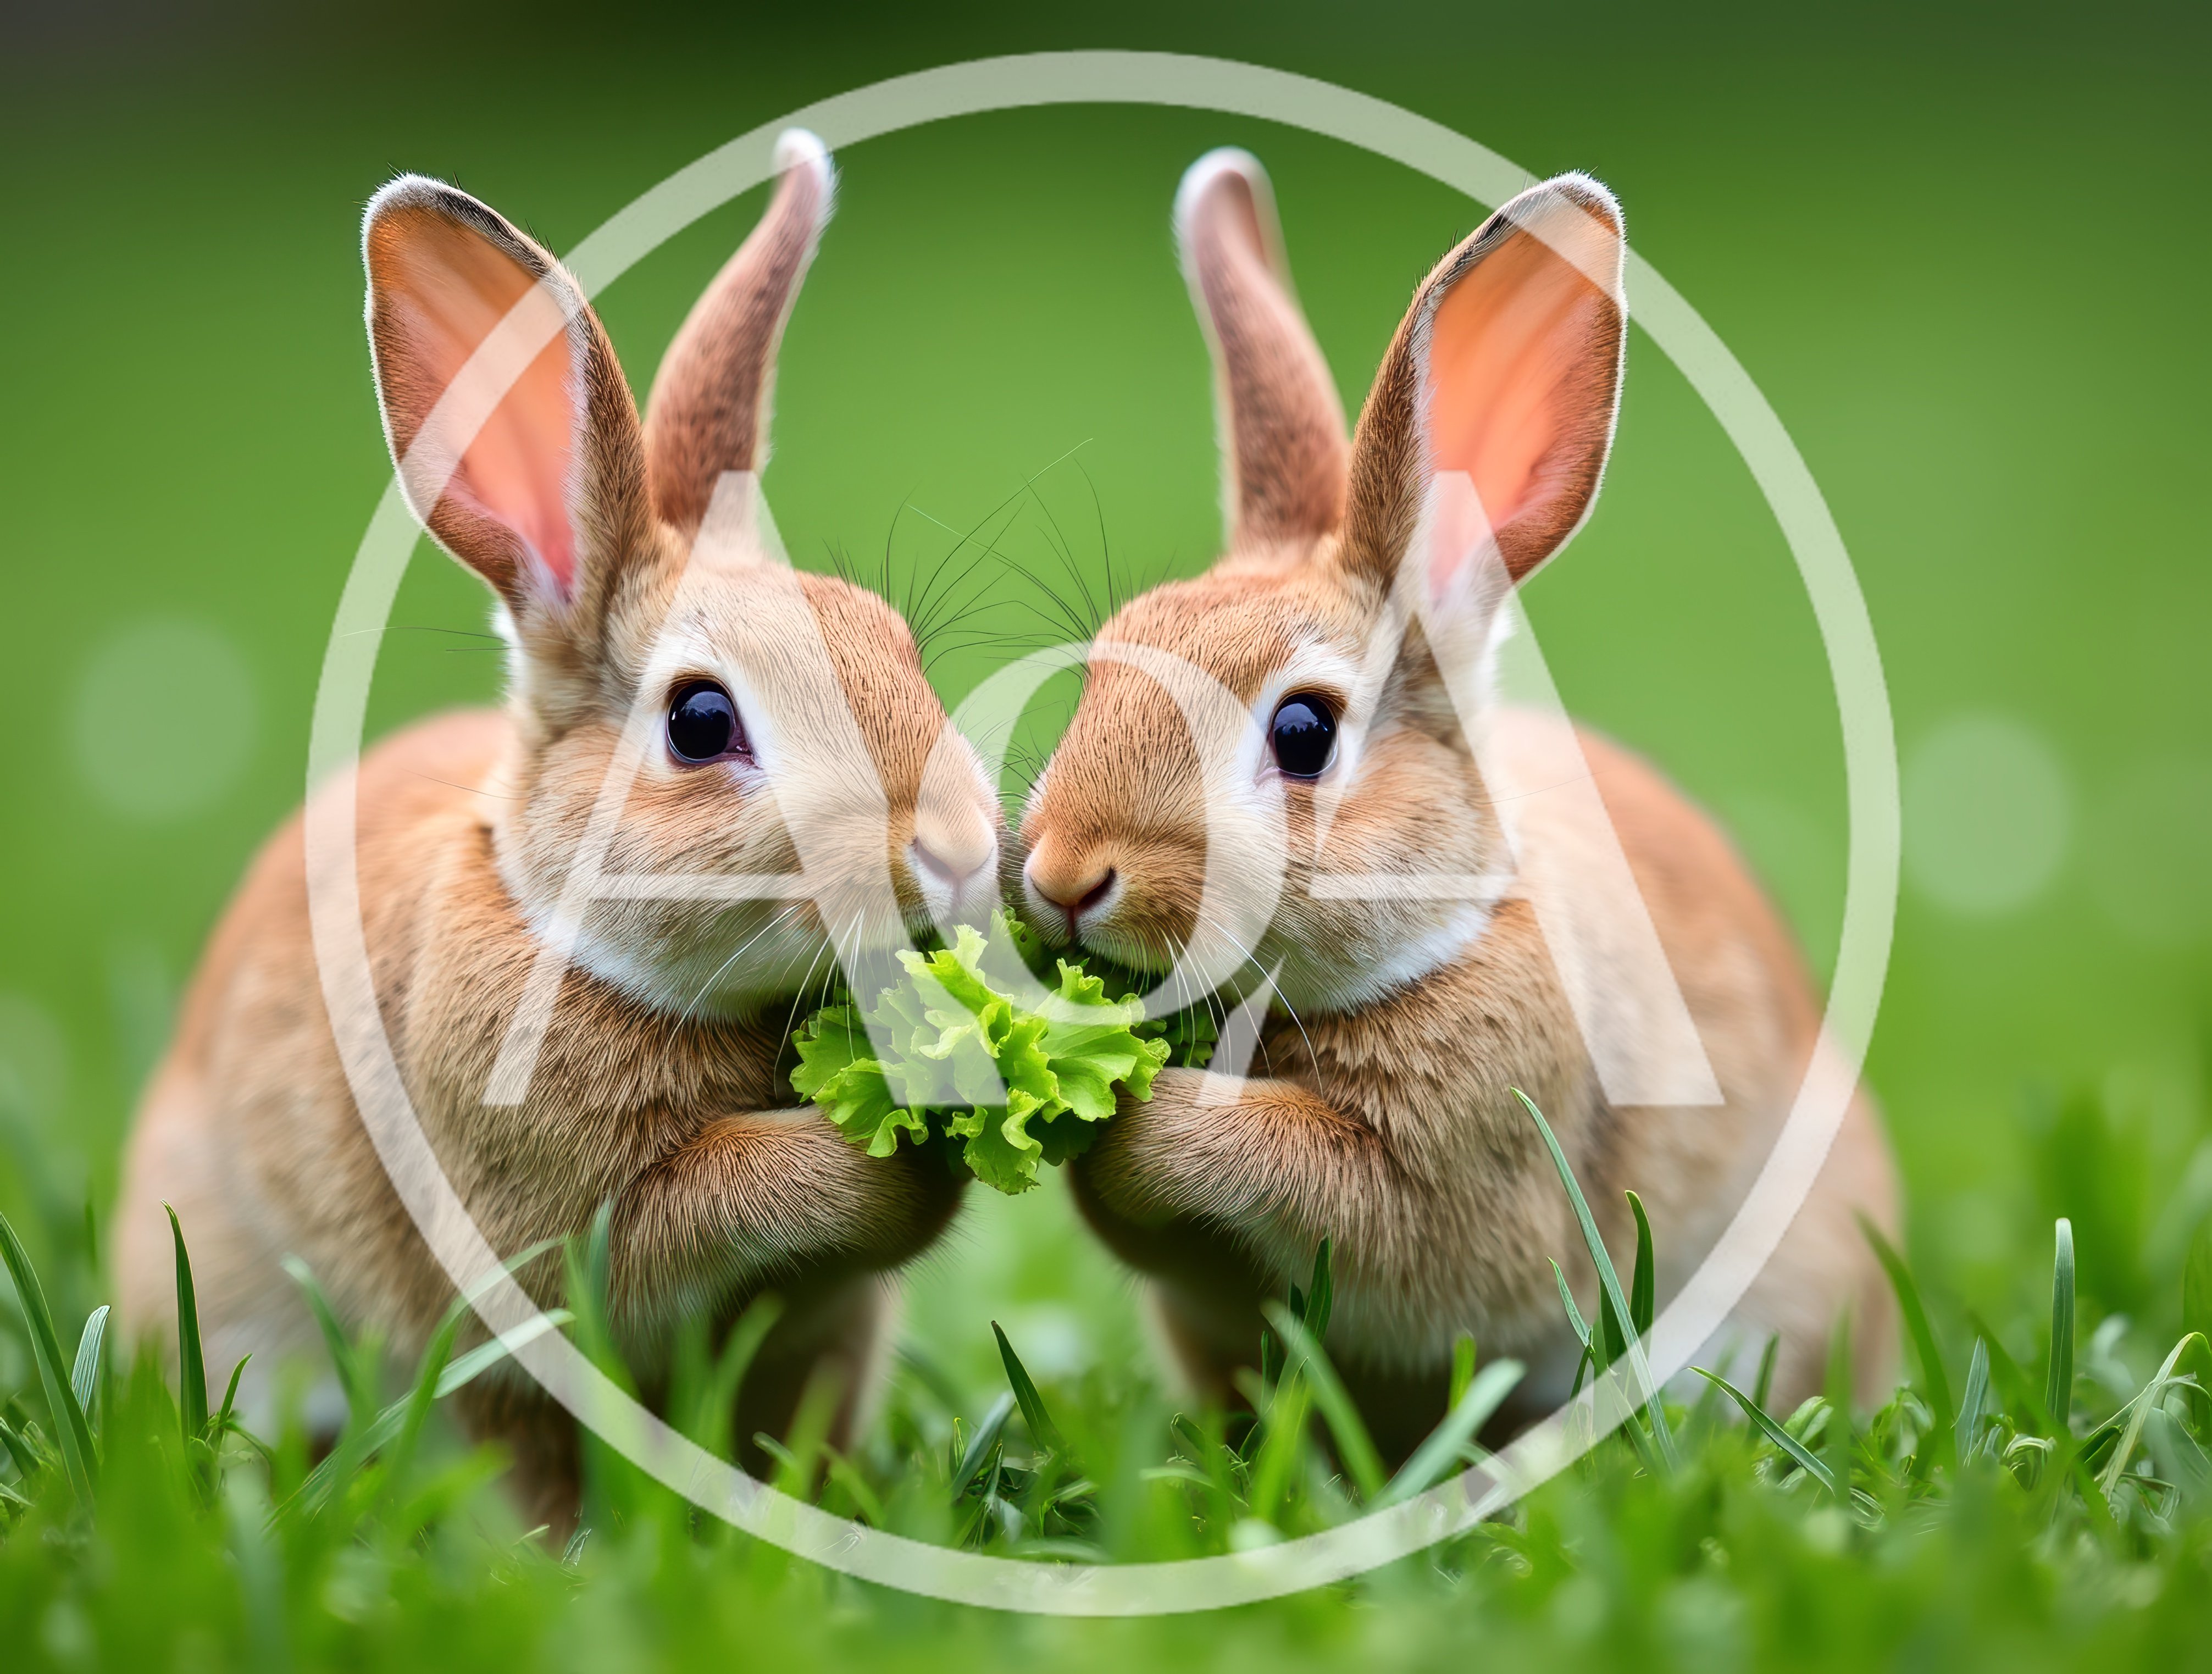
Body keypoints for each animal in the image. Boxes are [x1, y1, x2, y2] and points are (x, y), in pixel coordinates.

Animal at [1016, 149, 1898, 1460]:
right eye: (1102, 664)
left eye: (1302, 733)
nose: (1065, 876)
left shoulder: (1470, 1181)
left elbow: (1338, 1201)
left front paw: (1151, 1116)